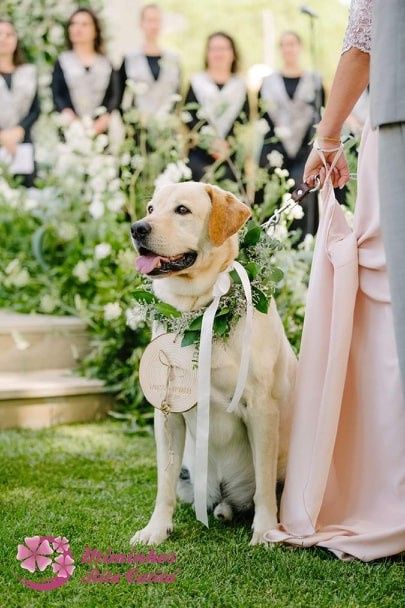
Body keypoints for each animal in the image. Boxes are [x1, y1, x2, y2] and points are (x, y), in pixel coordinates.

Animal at [131, 180, 296, 548]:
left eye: (182, 210)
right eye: (151, 208)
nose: (137, 228)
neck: (199, 309)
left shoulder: (261, 407)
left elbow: (265, 485)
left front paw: (265, 531)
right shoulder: (166, 411)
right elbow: (163, 484)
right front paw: (156, 529)